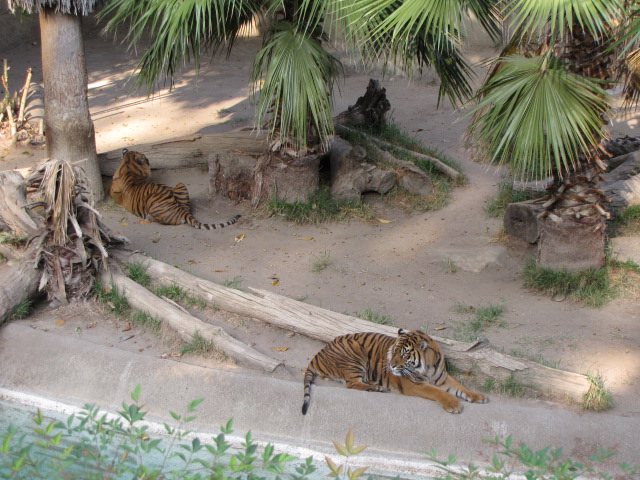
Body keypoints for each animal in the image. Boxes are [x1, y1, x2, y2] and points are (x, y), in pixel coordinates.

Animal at [110, 149, 241, 229]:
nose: (149, 160)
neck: (129, 167)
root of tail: (182, 210)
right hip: (180, 184)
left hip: (151, 199)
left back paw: (147, 219)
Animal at [302, 329, 488, 415]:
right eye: (394, 351)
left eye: (404, 354)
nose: (390, 365)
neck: (428, 367)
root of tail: (318, 354)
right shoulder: (414, 385)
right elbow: (437, 392)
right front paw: (454, 405)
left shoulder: (442, 378)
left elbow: (461, 387)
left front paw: (478, 396)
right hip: (353, 357)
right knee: (352, 384)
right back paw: (377, 387)